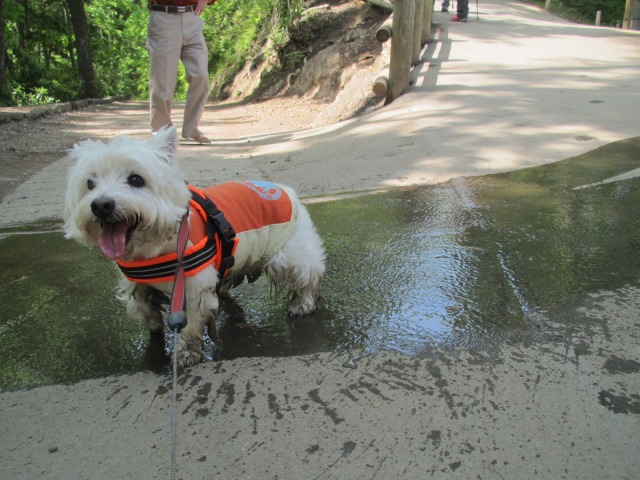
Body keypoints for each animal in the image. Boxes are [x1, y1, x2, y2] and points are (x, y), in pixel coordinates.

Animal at [63, 125, 324, 366]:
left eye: (136, 179)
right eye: (90, 183)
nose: (101, 205)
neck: (155, 246)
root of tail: (283, 189)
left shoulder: (194, 286)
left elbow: (191, 323)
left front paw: (186, 352)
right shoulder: (136, 282)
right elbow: (141, 306)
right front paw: (154, 323)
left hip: (289, 254)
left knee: (309, 274)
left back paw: (303, 304)